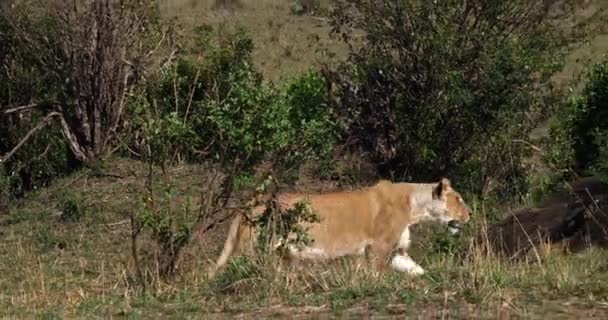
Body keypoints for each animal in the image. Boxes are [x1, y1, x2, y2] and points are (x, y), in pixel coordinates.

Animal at [209, 178, 470, 278]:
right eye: (458, 199)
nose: (470, 214)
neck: (415, 207)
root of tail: (251, 203)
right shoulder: (379, 247)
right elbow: (377, 272)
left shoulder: (397, 251)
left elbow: (418, 270)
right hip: (251, 249)